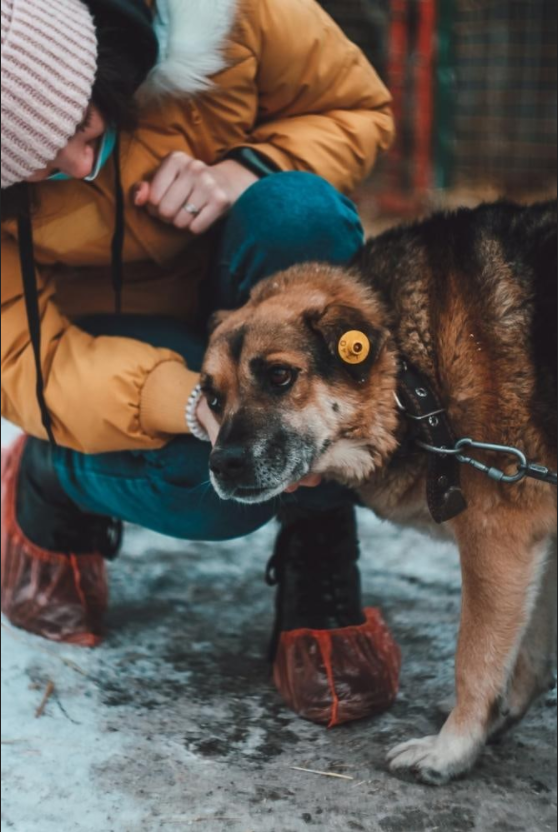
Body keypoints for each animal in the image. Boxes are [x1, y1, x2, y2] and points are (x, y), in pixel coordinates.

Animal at [202, 198, 558, 784]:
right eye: (212, 398)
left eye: (279, 376)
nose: (222, 465)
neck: (411, 375)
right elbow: (527, 651)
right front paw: (494, 722)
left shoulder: (497, 538)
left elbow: (475, 657)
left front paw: (452, 749)